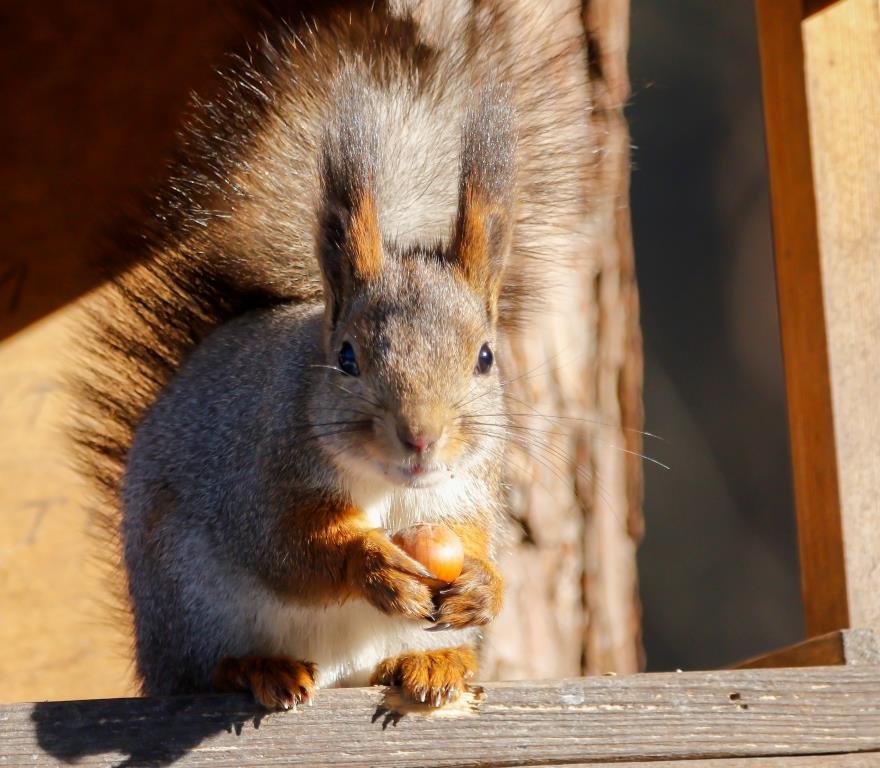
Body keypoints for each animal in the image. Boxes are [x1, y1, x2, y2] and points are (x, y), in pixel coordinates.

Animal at [75, 1, 596, 708]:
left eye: (486, 357)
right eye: (347, 358)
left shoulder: (468, 489)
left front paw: (484, 586)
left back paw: (436, 663)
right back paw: (256, 668)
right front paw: (371, 563)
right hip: (186, 604)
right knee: (206, 667)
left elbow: (475, 538)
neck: (390, 486)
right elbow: (291, 548)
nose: (421, 437)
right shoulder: (259, 477)